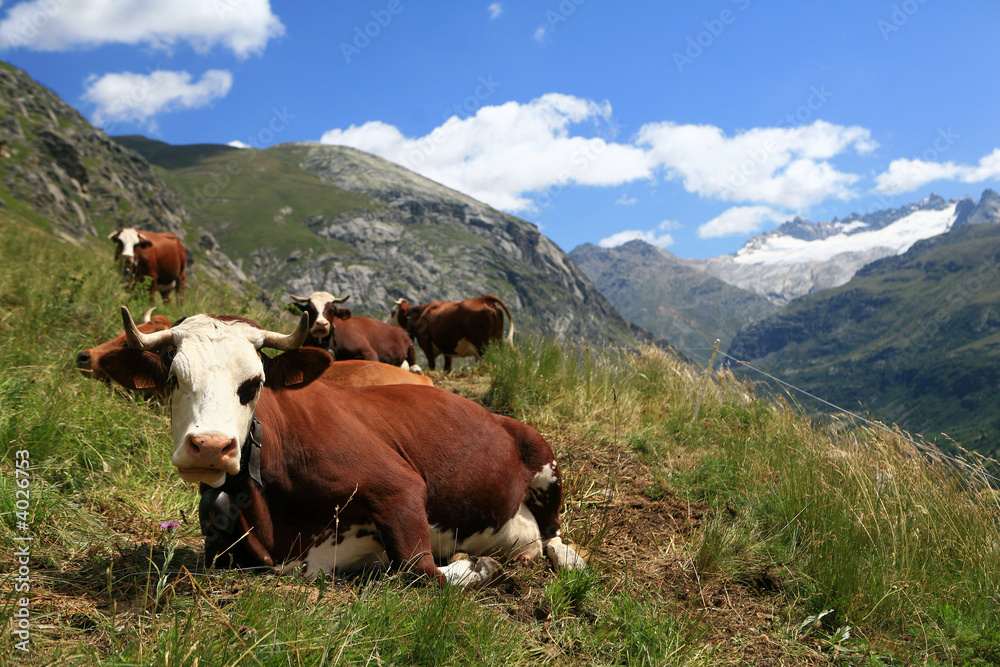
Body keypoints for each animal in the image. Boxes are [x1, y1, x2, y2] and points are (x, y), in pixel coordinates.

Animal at [95, 307, 584, 586]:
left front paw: (478, 566)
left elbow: (420, 571)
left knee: (553, 533)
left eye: (254, 383)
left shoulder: (399, 488)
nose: (211, 446)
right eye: (173, 378)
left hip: (543, 458)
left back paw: (569, 559)